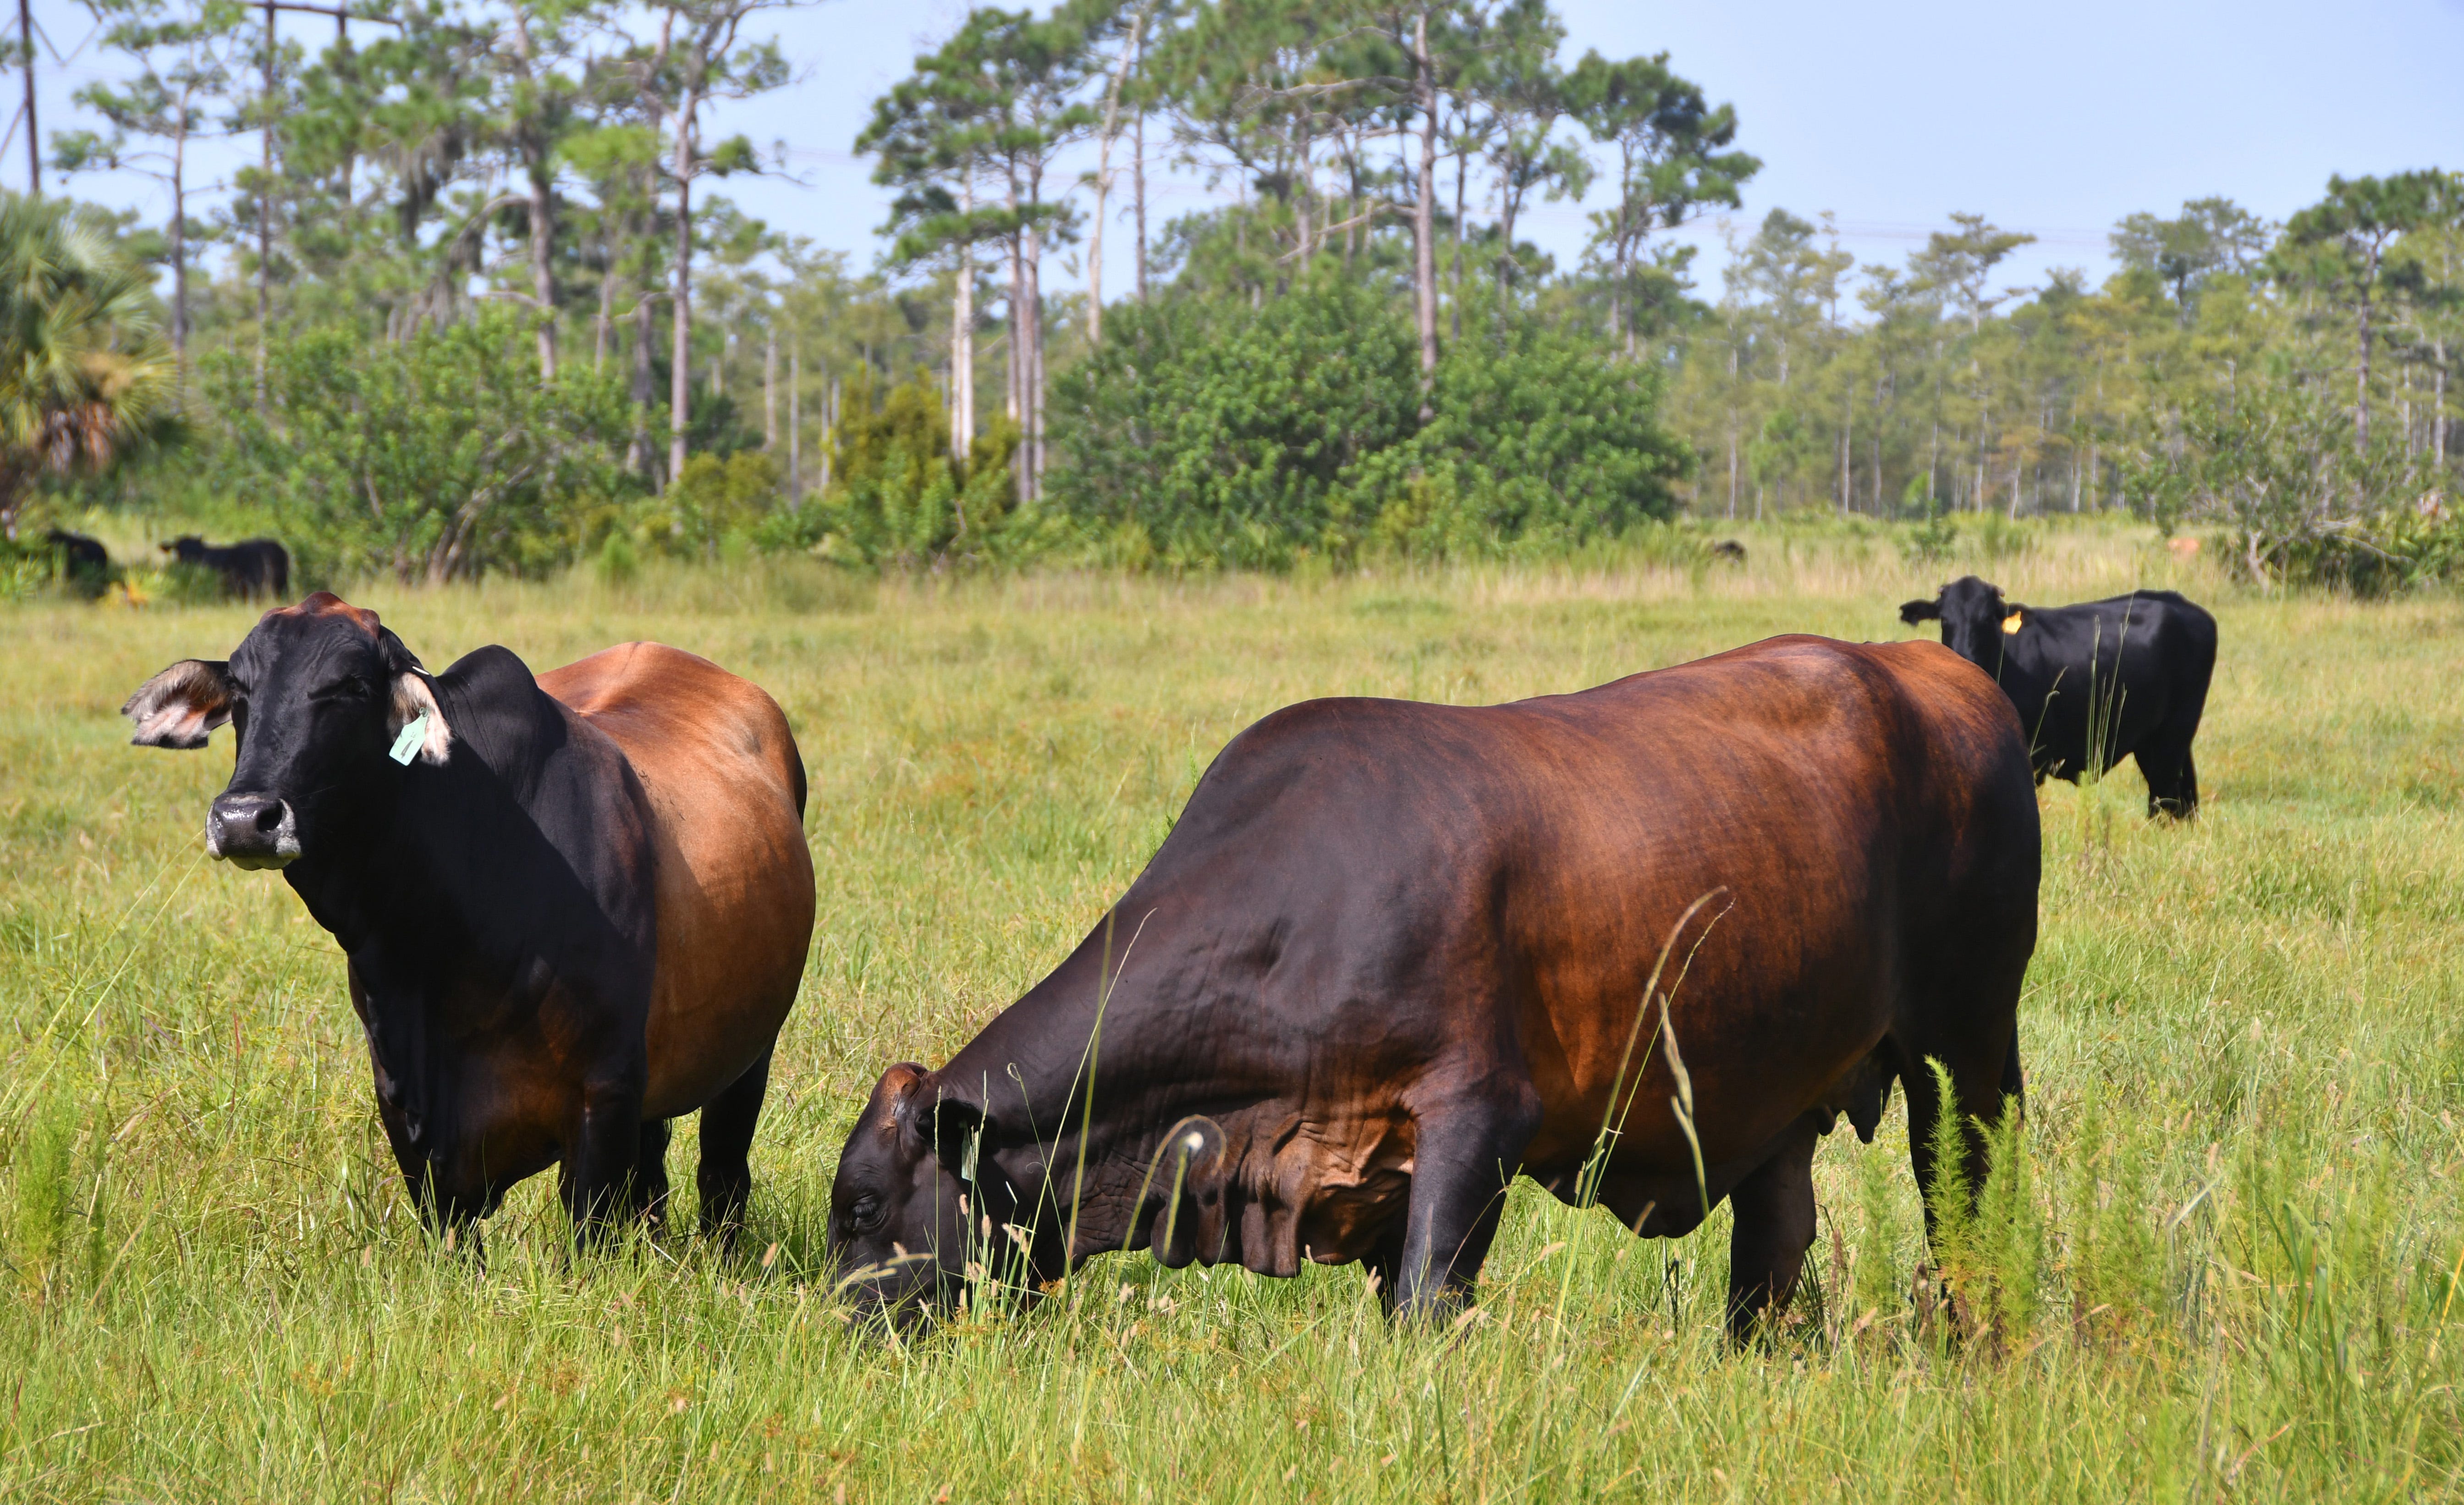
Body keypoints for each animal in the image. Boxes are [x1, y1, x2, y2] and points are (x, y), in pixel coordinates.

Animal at [121, 593, 815, 1247]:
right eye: (241, 689)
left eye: (352, 687)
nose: (245, 817)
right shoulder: (409, 1113)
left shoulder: (605, 1096)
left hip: (750, 1055)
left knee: (722, 1177)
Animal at [827, 635, 2039, 1339]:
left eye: (865, 1207)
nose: (839, 1335)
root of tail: (1942, 673)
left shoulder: (1479, 1121)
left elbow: (1424, 1306)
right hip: (1776, 1091)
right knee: (1772, 1251)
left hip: (1966, 1053)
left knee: (1967, 1202)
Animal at [1899, 576, 2217, 818]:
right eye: (1945, 619)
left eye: (1988, 619)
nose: (1963, 658)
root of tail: (2180, 603)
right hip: (2155, 740)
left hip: (2175, 733)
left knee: (2163, 797)